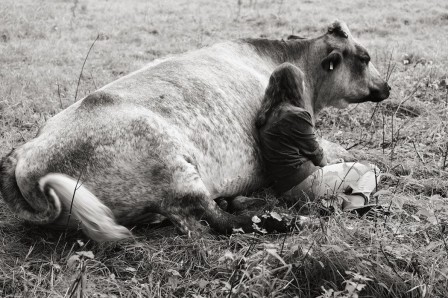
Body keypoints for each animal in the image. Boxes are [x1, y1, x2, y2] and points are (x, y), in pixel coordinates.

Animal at [0, 21, 388, 241]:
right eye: (365, 58)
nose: (386, 86)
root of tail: (26, 154)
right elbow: (344, 153)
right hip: (174, 169)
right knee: (215, 220)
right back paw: (283, 220)